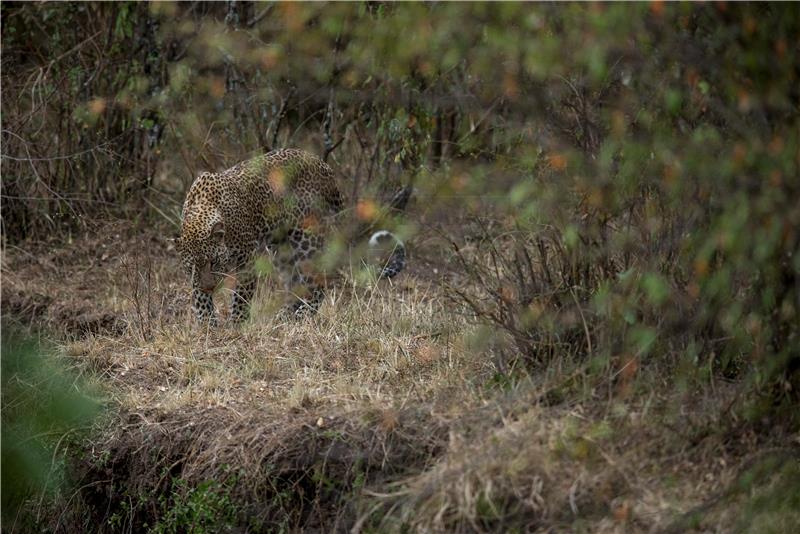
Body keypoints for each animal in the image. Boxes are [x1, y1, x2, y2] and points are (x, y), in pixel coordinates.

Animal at [176, 151, 406, 326]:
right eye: (192, 267)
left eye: (214, 262)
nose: (209, 287)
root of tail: (326, 168)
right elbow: (200, 299)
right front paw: (208, 327)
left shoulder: (247, 260)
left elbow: (241, 296)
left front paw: (236, 325)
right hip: (283, 250)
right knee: (295, 284)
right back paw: (284, 318)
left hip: (307, 242)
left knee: (318, 284)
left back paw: (301, 316)